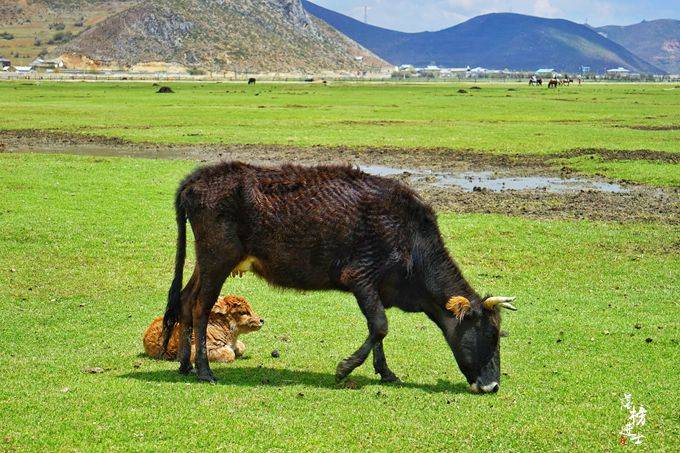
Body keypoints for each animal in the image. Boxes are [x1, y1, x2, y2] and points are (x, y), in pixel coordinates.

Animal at [163, 162, 516, 392]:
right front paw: (344, 369)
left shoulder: (379, 289)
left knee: (185, 300)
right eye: (491, 334)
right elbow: (380, 326)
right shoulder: (361, 277)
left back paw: (184, 365)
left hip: (205, 263)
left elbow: (378, 331)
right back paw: (204, 371)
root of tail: (195, 179)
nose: (492, 386)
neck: (411, 239)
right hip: (217, 260)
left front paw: (385, 372)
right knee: (201, 307)